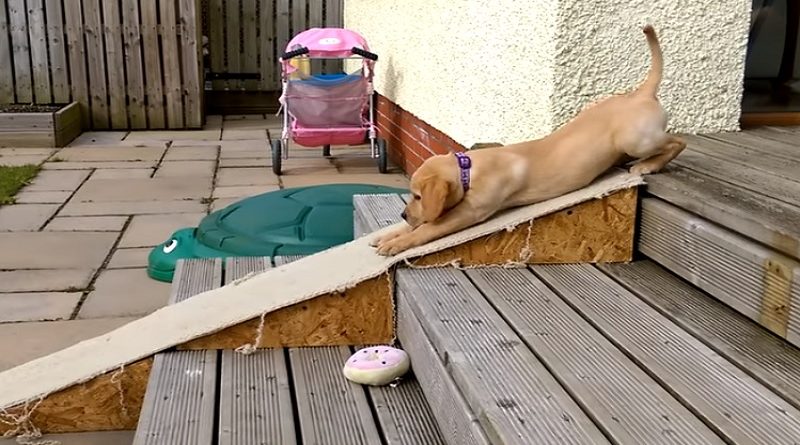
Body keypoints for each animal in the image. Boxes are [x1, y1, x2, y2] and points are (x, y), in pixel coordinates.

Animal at [372, 24, 684, 255]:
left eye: (418, 195)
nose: (403, 215)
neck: (467, 170)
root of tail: (641, 93)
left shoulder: (470, 212)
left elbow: (428, 227)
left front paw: (398, 242)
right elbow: (423, 221)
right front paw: (390, 234)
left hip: (636, 140)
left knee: (677, 142)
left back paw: (649, 164)